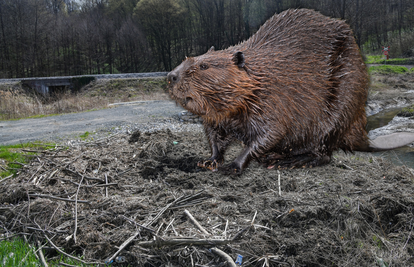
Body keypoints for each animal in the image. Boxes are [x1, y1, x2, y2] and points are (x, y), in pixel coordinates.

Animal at [167, 8, 414, 175]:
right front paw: (209, 160)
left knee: (324, 153)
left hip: (342, 104)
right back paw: (278, 155)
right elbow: (214, 136)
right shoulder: (217, 117)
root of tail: (363, 136)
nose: (171, 76)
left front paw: (234, 165)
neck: (258, 77)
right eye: (189, 59)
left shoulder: (272, 101)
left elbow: (269, 134)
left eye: (204, 66)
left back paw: (287, 160)